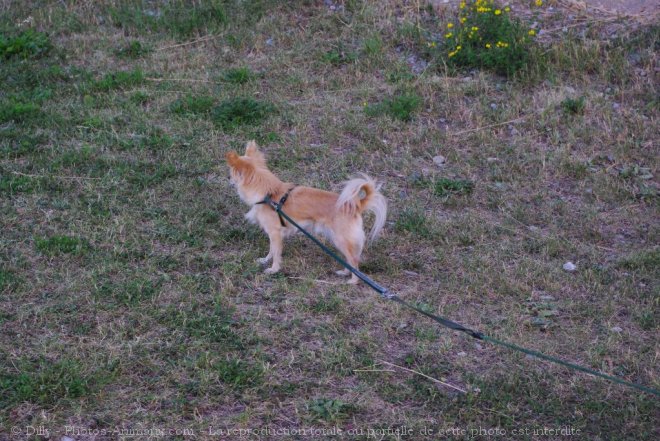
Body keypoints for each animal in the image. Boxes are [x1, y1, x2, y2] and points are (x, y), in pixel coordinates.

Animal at [227, 142, 386, 286]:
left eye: (231, 173)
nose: (228, 179)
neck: (269, 193)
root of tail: (355, 205)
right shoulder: (273, 234)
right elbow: (271, 250)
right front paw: (265, 260)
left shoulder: (275, 233)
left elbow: (276, 253)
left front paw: (274, 269)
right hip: (339, 240)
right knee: (350, 259)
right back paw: (344, 272)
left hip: (341, 239)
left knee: (354, 261)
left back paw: (353, 280)